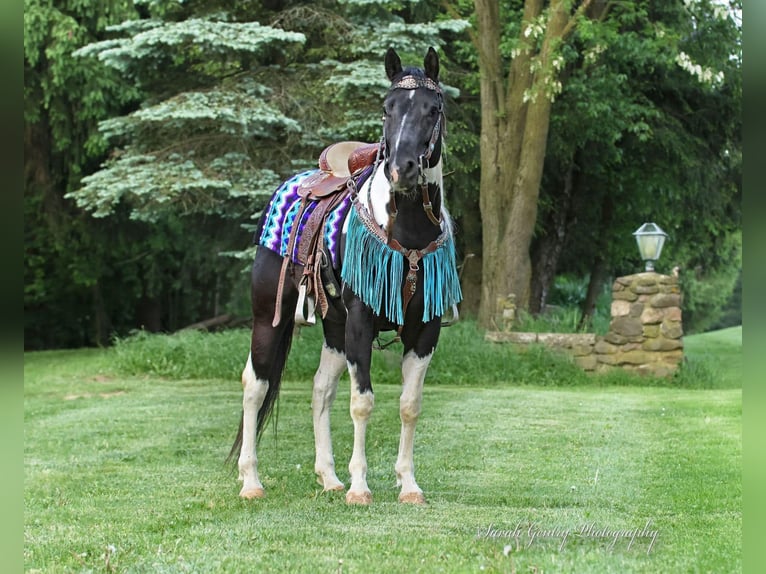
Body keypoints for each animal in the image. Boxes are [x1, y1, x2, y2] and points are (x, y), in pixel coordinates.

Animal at [229, 47, 462, 505]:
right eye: (387, 108)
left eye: (434, 109)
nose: (402, 168)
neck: (407, 230)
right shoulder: (359, 324)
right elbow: (362, 402)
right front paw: (360, 487)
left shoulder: (424, 331)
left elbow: (409, 405)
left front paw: (408, 485)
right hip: (269, 317)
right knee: (255, 384)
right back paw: (251, 481)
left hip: (333, 325)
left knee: (321, 389)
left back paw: (328, 477)